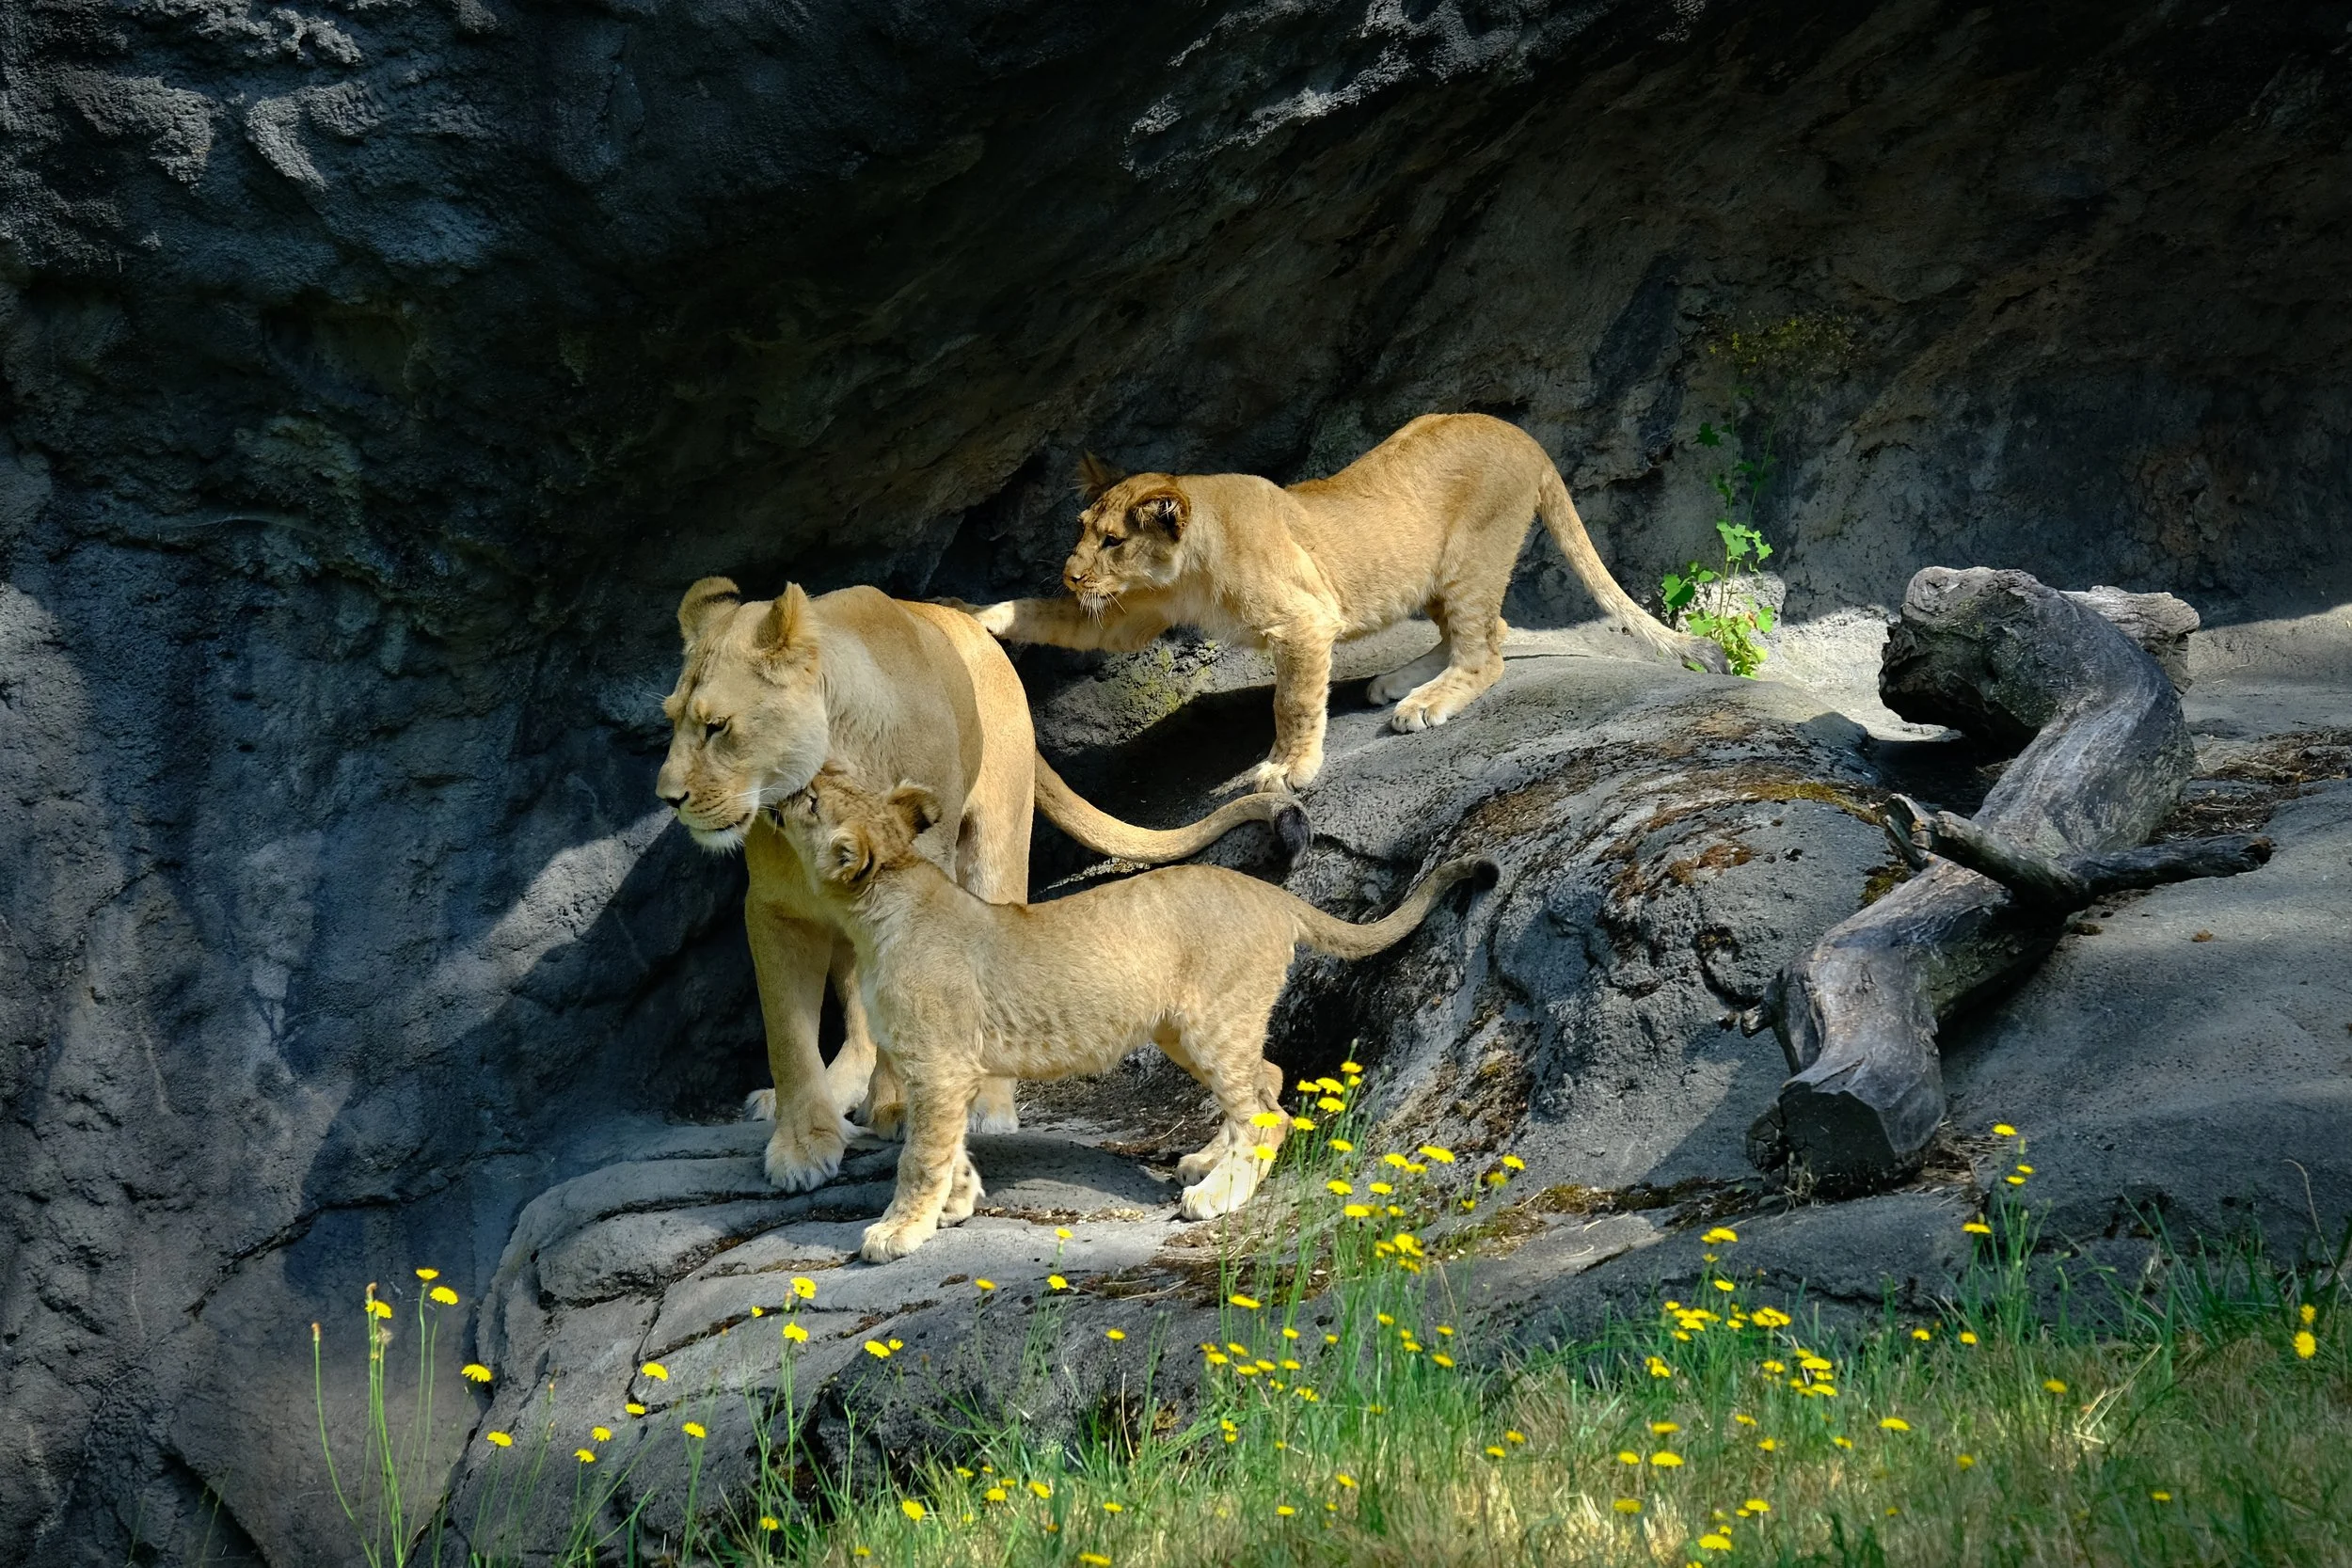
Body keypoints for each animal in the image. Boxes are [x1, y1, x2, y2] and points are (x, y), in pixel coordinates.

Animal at [656, 578, 1307, 1193]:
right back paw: (838, 1092)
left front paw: (897, 1107)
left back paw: (982, 1105)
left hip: (996, 841)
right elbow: (787, 1037)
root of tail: (969, 623)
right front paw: (802, 1145)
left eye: (717, 727)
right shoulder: (775, 909)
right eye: (672, 719)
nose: (669, 798)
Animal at [769, 765, 1495, 1262]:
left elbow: (919, 1156)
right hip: (1186, 1030)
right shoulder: (953, 1071)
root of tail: (1272, 895)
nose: (788, 787)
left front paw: (899, 1229)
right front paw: (958, 1200)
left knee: (1268, 1114)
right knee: (1267, 1081)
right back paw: (1207, 1162)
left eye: (813, 800)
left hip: (1210, 1022)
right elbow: (949, 1147)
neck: (881, 905)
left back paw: (1216, 1195)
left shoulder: (939, 1065)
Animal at [964, 413, 1717, 792]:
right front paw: (981, 619)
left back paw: (1423, 704)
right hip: (1433, 574)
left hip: (1470, 557)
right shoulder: (1134, 616)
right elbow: (1053, 620)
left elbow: (1292, 703)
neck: (1189, 565)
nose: (1071, 575)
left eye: (1114, 540)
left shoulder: (1305, 621)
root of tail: (1524, 436)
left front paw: (1286, 768)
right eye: (1080, 531)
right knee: (1482, 631)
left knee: (1488, 650)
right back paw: (1396, 682)